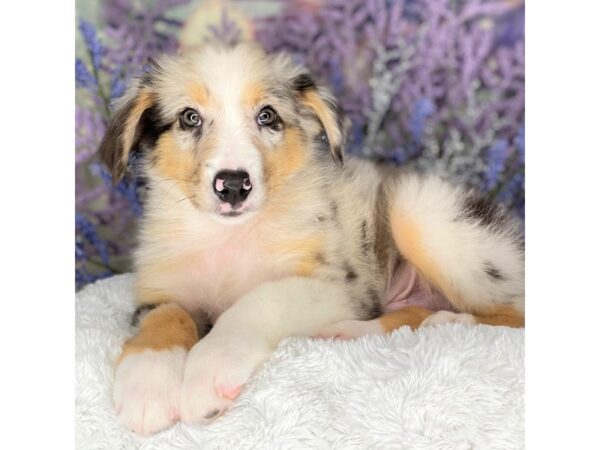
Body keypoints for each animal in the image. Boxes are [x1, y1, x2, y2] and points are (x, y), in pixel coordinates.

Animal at [99, 44, 524, 434]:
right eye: (190, 118)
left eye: (267, 116)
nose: (234, 185)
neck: (230, 236)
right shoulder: (160, 289)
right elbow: (166, 317)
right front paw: (146, 385)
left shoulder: (336, 287)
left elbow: (259, 299)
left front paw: (209, 372)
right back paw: (352, 331)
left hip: (422, 212)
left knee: (512, 312)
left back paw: (450, 319)